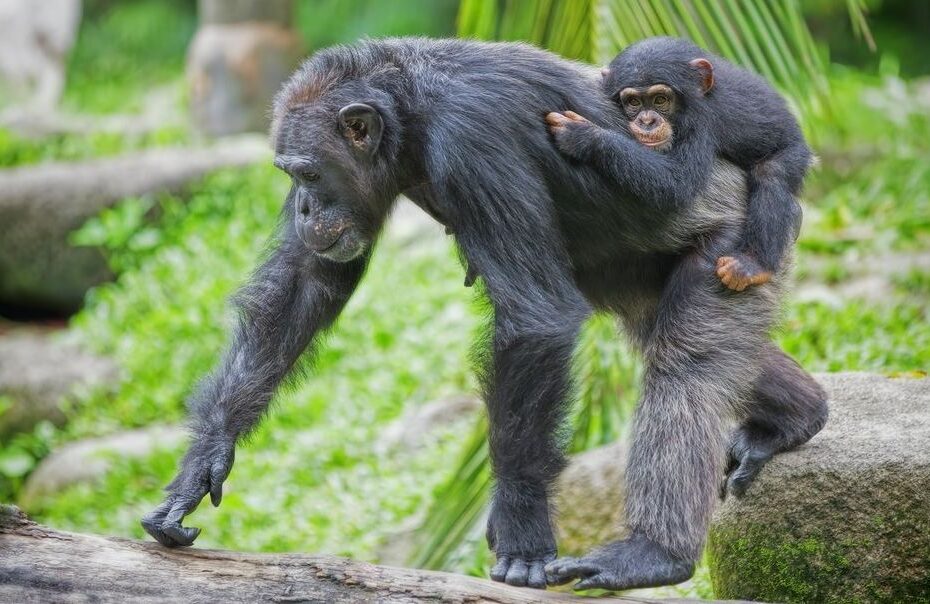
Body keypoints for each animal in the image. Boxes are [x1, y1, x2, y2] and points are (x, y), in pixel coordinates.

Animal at [547, 36, 812, 292]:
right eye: (633, 102)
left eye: (660, 99)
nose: (647, 121)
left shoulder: (700, 122)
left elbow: (677, 182)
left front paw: (585, 136)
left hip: (794, 151)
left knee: (772, 173)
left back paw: (752, 264)